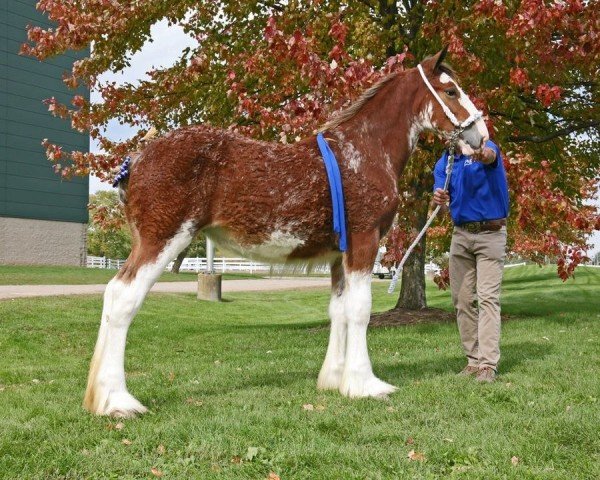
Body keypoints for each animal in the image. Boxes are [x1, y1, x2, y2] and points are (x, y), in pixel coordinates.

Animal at [83, 48, 488, 416]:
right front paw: (365, 384)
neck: (363, 151)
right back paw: (118, 401)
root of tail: (138, 159)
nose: (481, 137)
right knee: (123, 300)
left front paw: (336, 379)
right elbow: (360, 310)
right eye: (451, 91)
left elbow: (339, 309)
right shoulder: (364, 241)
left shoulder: (338, 255)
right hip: (162, 239)